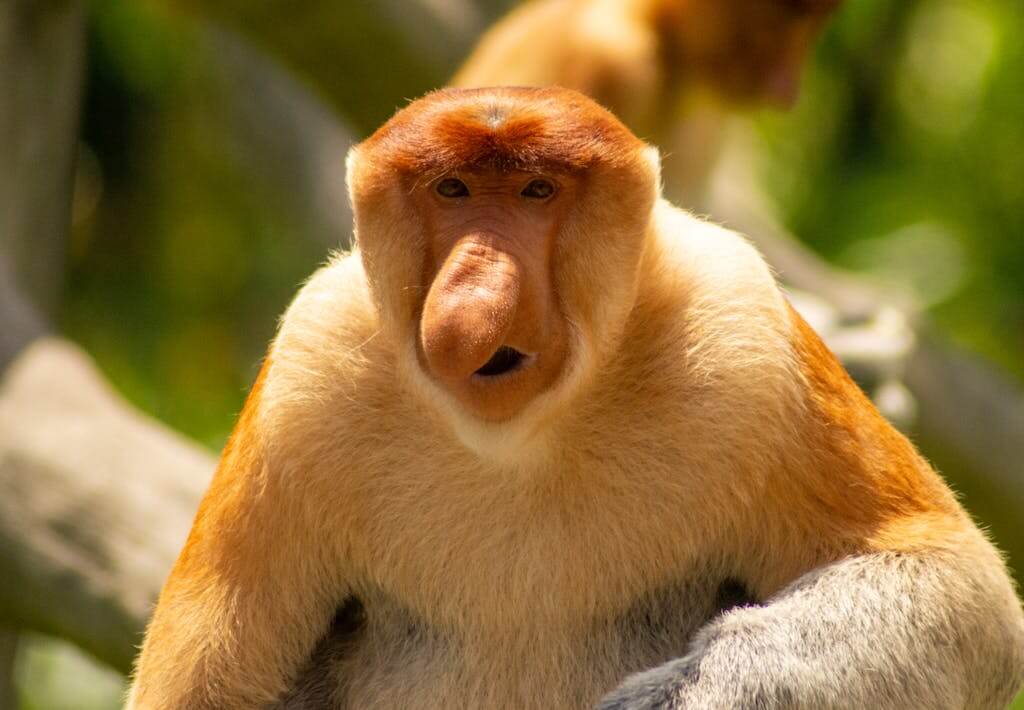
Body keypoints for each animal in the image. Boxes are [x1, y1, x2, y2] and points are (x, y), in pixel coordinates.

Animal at [126, 87, 1024, 710]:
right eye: (452, 190)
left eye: (536, 191)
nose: (476, 291)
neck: (523, 439)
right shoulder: (308, 370)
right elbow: (201, 685)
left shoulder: (743, 330)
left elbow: (957, 588)